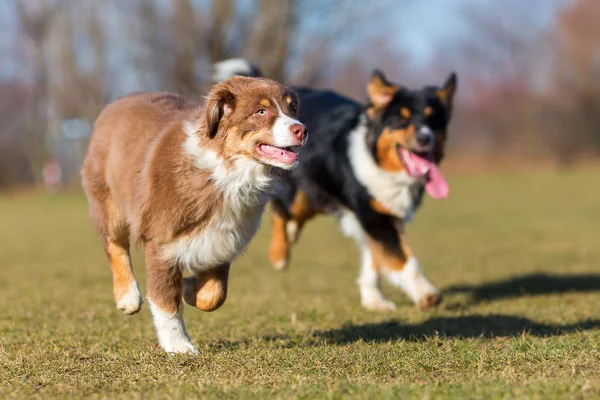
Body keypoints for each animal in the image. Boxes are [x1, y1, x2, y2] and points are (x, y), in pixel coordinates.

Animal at [81, 76, 304, 354]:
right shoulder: (161, 240)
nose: (301, 130)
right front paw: (179, 345)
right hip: (108, 199)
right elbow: (166, 300)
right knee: (114, 245)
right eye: (261, 112)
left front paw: (189, 288)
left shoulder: (224, 238)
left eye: (292, 109)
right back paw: (128, 296)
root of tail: (118, 102)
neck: (228, 173)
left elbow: (215, 294)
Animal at [213, 59, 458, 310]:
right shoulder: (372, 214)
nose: (425, 138)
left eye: (432, 119)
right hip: (295, 190)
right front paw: (426, 293)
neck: (383, 166)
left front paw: (374, 300)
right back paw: (279, 255)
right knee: (282, 213)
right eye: (402, 118)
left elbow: (375, 257)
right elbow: (400, 257)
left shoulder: (383, 215)